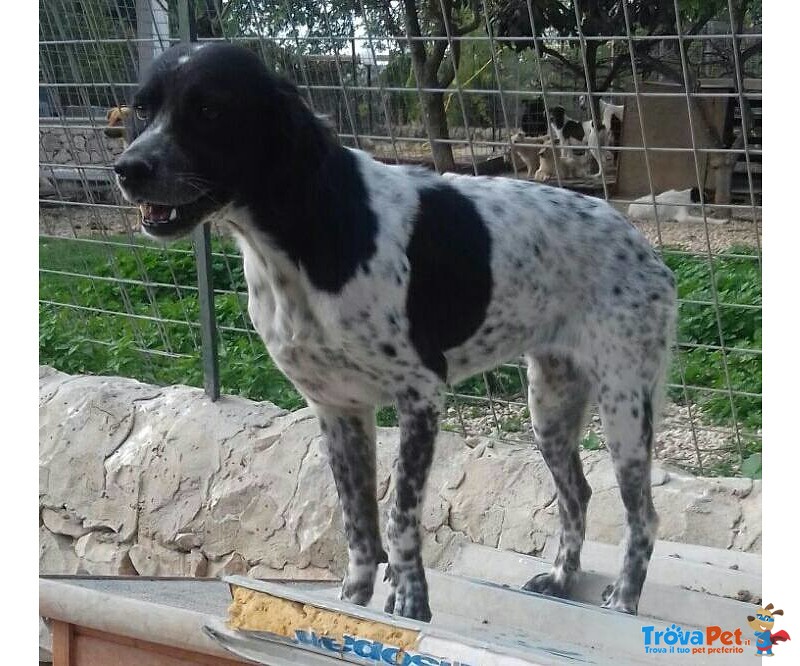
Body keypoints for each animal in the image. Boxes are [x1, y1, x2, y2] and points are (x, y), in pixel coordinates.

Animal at [112, 44, 676, 620]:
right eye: (141, 109)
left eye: (210, 110)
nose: (128, 169)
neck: (301, 239)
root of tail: (645, 247)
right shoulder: (337, 408)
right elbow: (357, 524)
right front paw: (351, 602)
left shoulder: (421, 395)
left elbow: (399, 515)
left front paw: (410, 604)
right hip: (550, 405)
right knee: (577, 493)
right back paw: (563, 579)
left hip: (624, 405)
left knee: (643, 517)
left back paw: (623, 601)